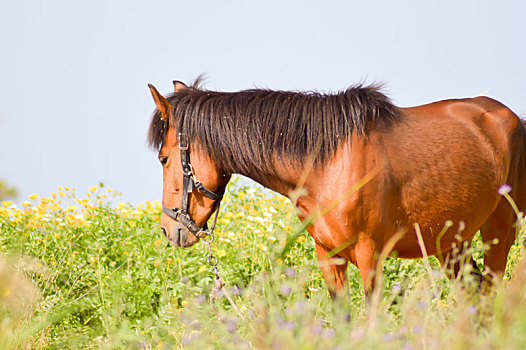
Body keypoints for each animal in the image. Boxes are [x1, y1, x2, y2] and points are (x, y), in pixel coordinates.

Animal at [147, 80, 526, 298]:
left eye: (164, 158)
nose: (169, 230)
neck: (327, 163)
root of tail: (509, 118)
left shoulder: (370, 256)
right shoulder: (329, 258)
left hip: (500, 232)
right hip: (450, 243)